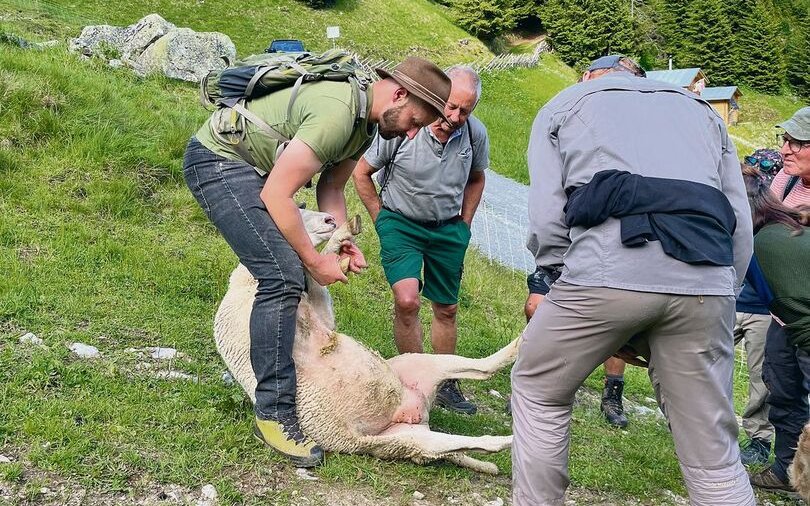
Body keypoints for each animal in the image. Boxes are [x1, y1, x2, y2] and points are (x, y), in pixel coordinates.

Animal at [213, 209, 516, 474]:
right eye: (296, 210)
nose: (330, 219)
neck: (246, 280)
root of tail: (415, 410)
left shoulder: (323, 315)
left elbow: (320, 280)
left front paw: (342, 239)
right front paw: (338, 241)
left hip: (416, 372)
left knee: (483, 368)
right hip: (400, 440)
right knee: (464, 441)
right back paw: (508, 441)